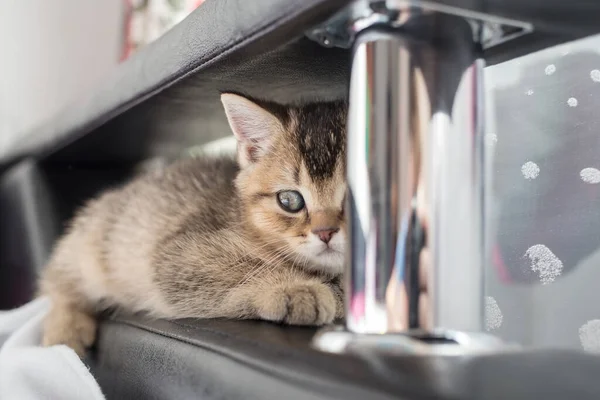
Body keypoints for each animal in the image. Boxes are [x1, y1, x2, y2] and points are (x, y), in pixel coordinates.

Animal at [38, 94, 346, 356]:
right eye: (290, 200)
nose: (325, 232)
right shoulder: (177, 254)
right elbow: (242, 271)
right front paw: (293, 288)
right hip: (91, 244)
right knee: (59, 285)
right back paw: (64, 332)